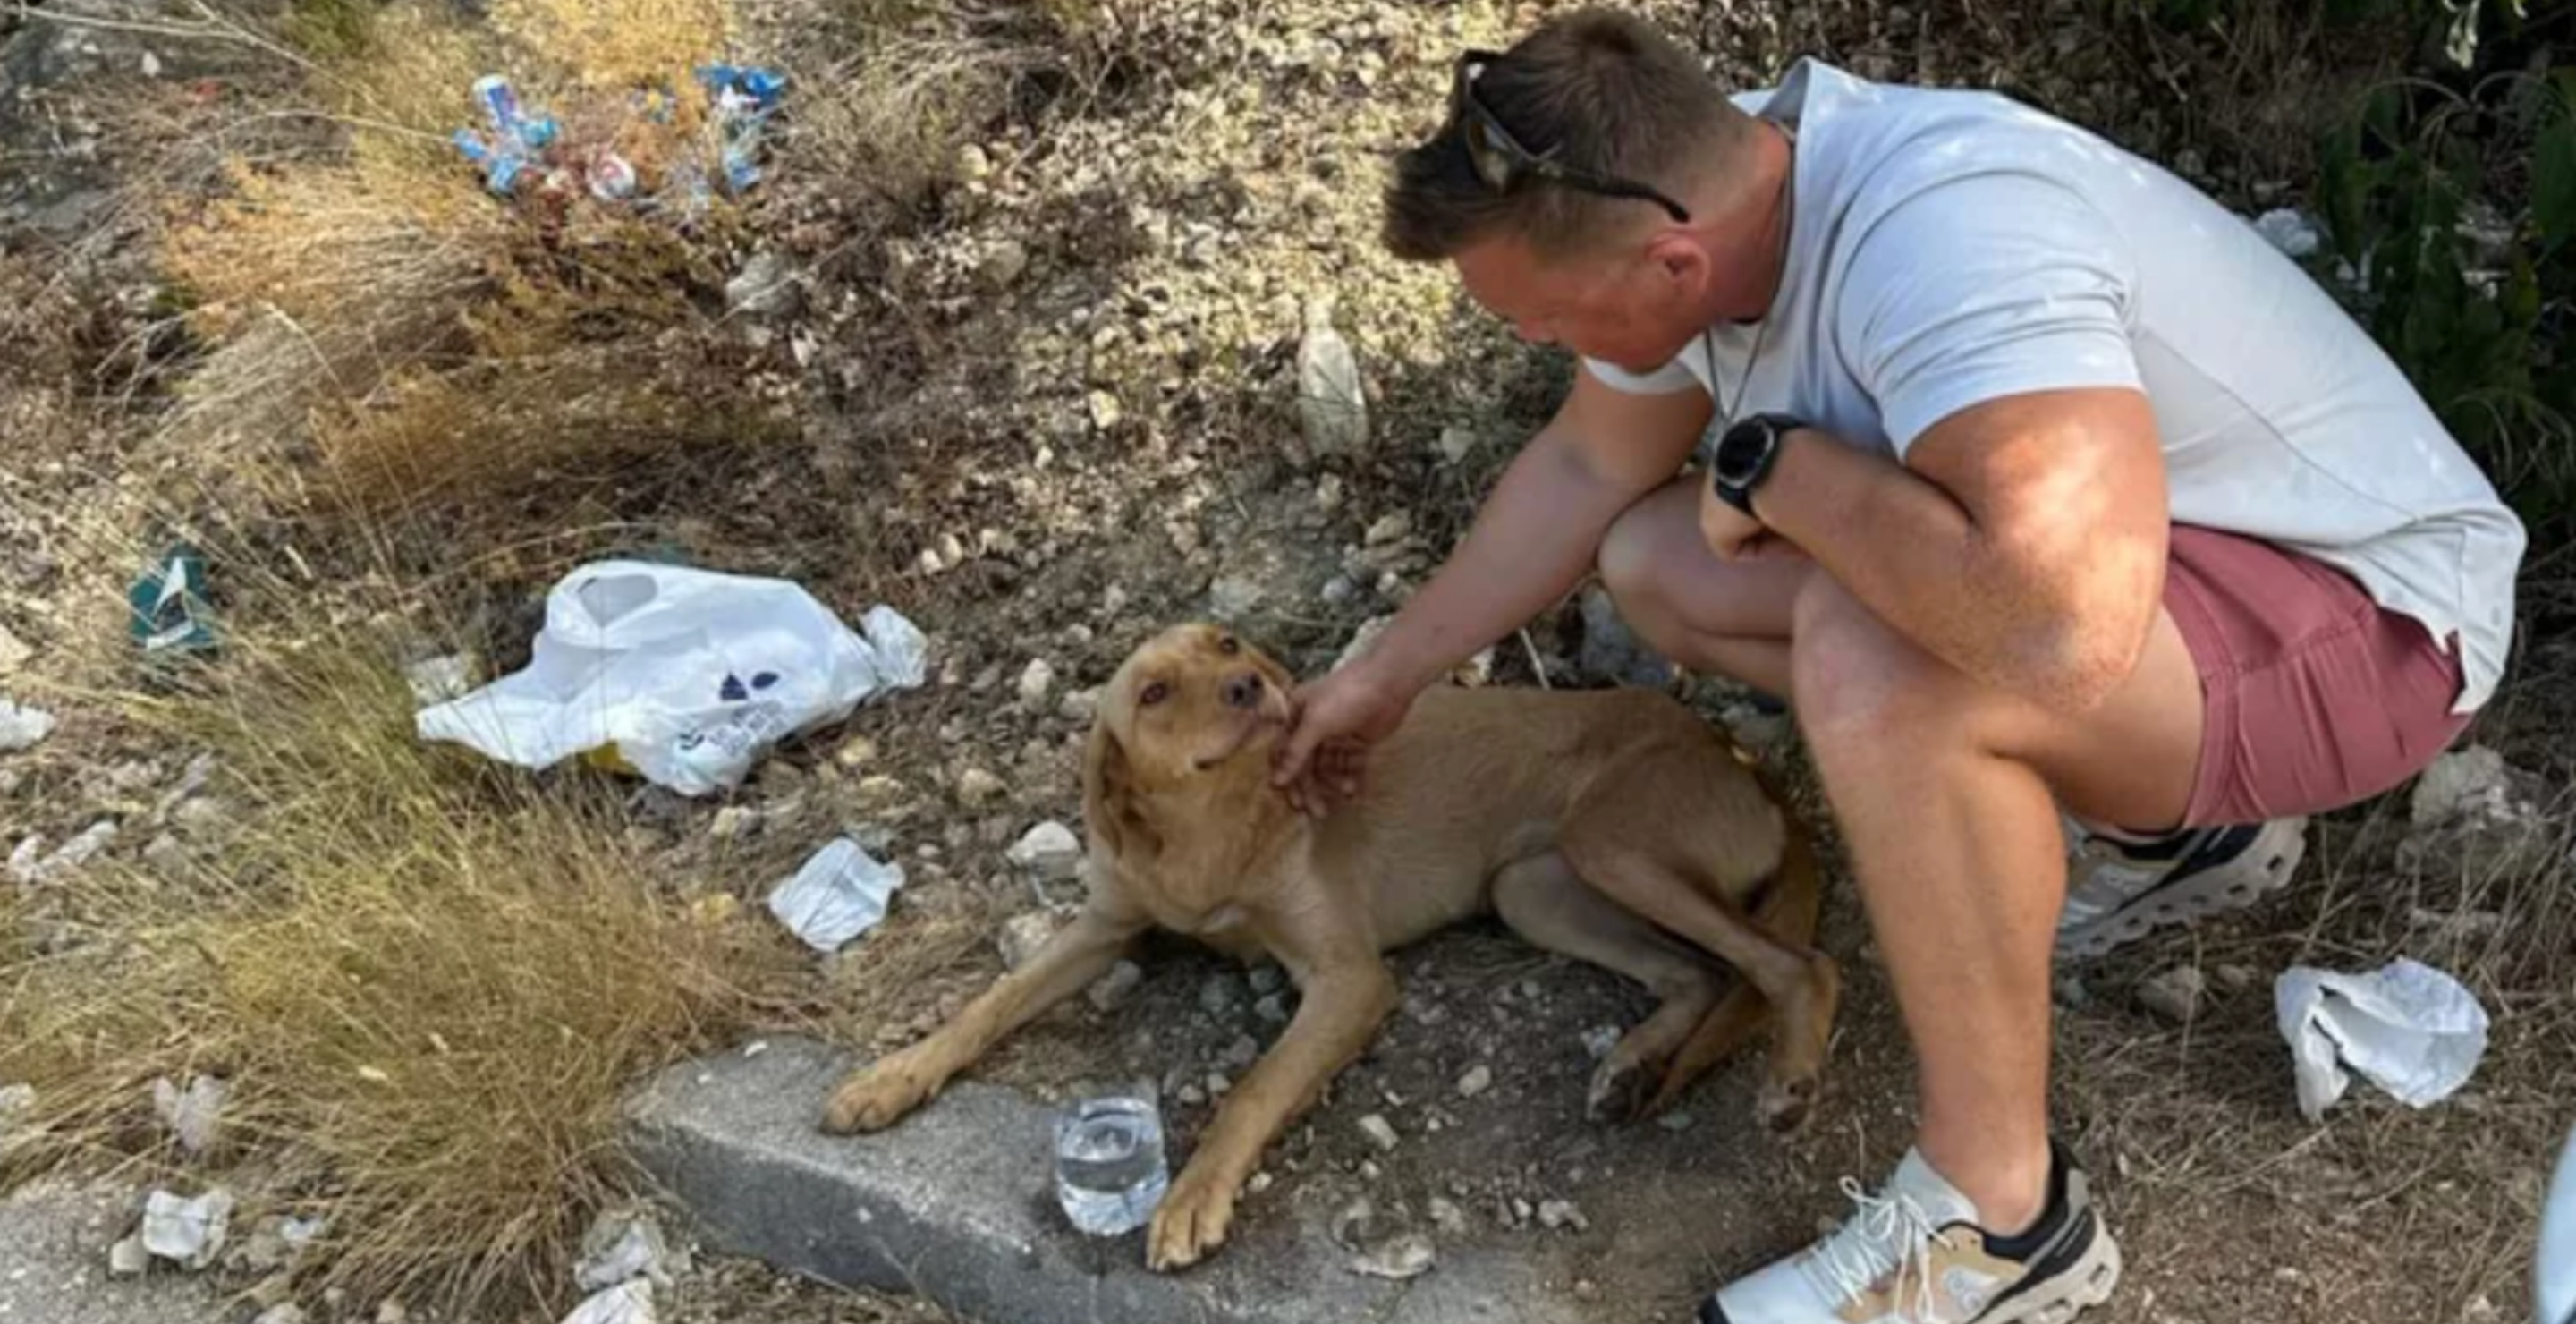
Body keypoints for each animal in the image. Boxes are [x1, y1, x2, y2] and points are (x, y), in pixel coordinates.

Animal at [818, 618, 1834, 1267]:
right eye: (1154, 691)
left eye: (1226, 644)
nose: (1250, 687)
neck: (1216, 829)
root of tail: (1741, 756)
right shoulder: (1104, 927)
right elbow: (985, 1004)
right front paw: (889, 1077)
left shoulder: (1349, 980)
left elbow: (1254, 1088)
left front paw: (1192, 1196)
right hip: (1534, 891)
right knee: (1696, 975)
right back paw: (1631, 1066)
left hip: (1614, 842)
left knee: (1795, 965)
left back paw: (1788, 1082)